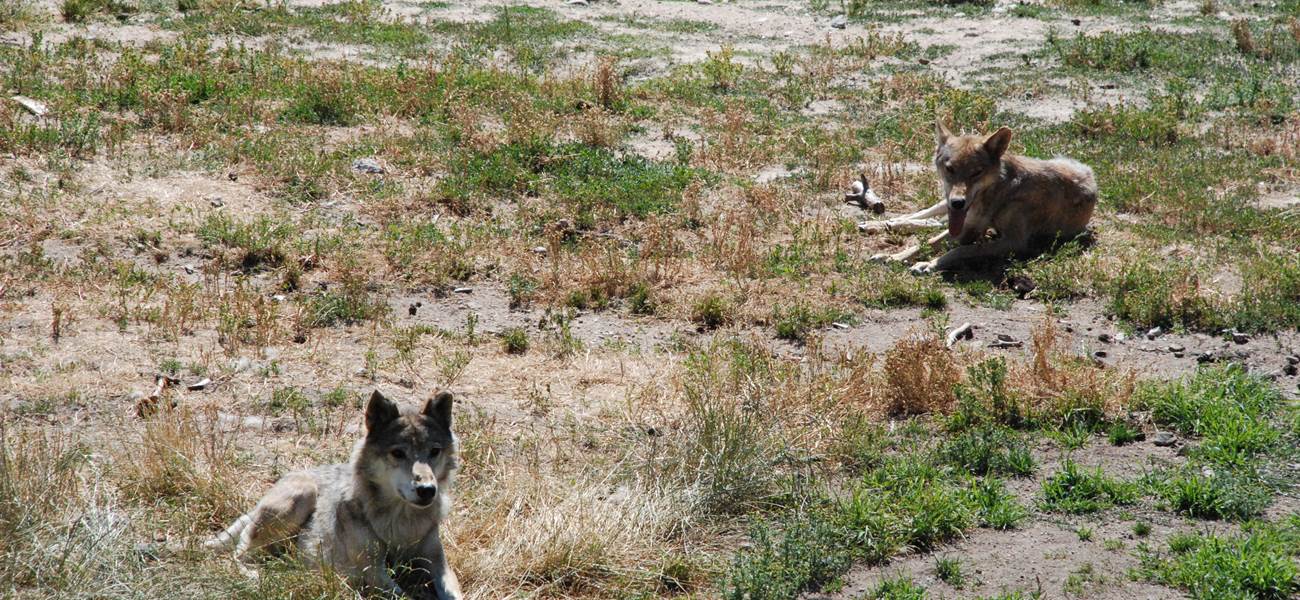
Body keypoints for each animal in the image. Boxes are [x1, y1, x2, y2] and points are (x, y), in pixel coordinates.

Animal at [206, 387, 462, 597]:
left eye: (434, 451)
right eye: (398, 453)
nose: (427, 490)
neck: (402, 522)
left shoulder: (439, 563)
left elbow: (453, 591)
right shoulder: (373, 572)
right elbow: (402, 595)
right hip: (303, 494)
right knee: (238, 555)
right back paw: (261, 576)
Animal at [863, 121, 1097, 274]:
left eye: (976, 172)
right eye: (950, 169)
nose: (958, 203)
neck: (1001, 192)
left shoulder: (1012, 242)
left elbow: (962, 249)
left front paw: (929, 264)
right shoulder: (967, 224)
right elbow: (928, 241)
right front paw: (893, 256)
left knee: (932, 223)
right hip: (944, 204)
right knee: (921, 217)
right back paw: (877, 224)